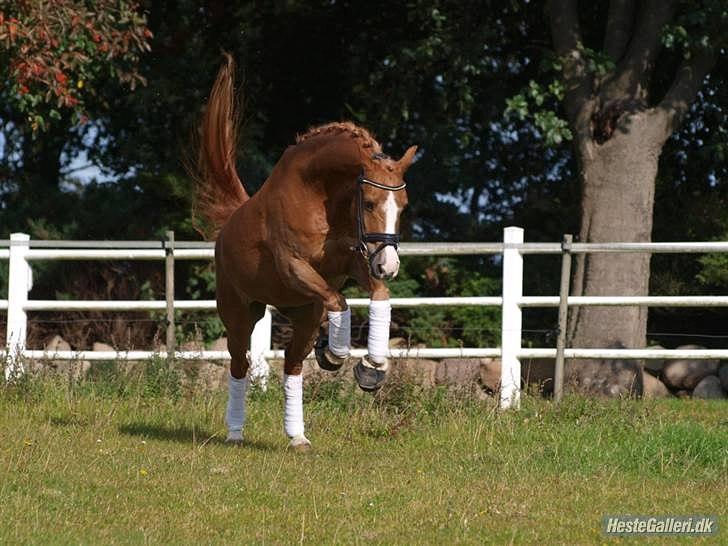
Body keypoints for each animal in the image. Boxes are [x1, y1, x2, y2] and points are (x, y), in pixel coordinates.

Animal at [193, 55, 418, 448]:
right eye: (370, 203)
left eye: (402, 206)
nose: (389, 265)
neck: (318, 195)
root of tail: (228, 224)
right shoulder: (295, 267)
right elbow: (340, 302)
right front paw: (338, 353)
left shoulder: (353, 261)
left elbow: (379, 295)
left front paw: (371, 366)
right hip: (240, 313)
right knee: (240, 364)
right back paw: (235, 431)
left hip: (303, 311)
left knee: (292, 365)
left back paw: (297, 435)